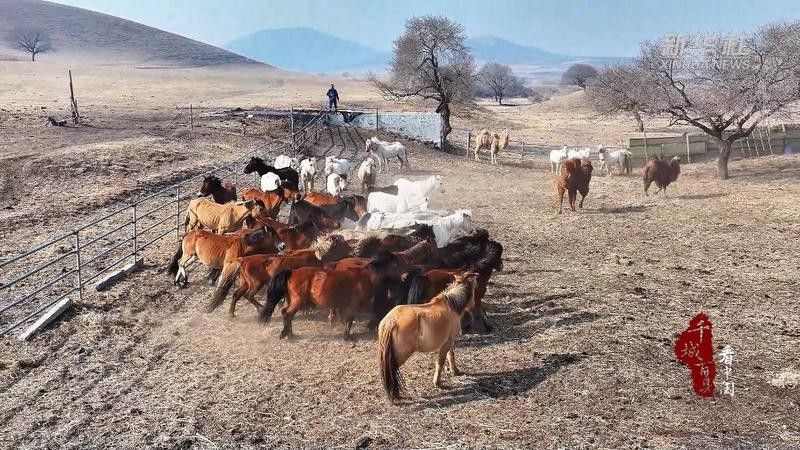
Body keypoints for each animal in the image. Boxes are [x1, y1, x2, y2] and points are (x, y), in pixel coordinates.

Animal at [207, 234, 351, 316]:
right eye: (343, 244)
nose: (351, 250)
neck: (318, 256)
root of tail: (243, 259)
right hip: (255, 284)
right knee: (248, 295)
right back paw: (260, 308)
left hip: (246, 283)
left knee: (237, 295)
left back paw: (232, 314)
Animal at [260, 251, 407, 341]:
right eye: (395, 264)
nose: (405, 276)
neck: (365, 277)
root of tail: (291, 272)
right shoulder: (355, 305)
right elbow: (351, 319)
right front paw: (348, 336)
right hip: (298, 301)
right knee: (287, 314)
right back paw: (287, 335)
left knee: (287, 314)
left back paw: (290, 334)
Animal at [377, 272, 479, 401]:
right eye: (474, 289)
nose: (474, 305)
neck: (451, 306)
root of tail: (391, 320)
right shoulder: (447, 343)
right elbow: (441, 362)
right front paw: (437, 382)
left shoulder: (449, 342)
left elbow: (451, 356)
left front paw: (455, 371)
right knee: (390, 369)